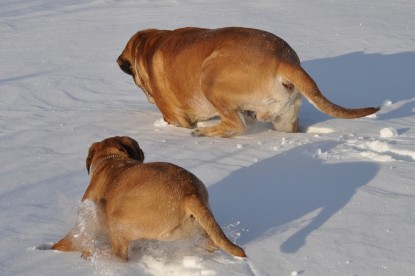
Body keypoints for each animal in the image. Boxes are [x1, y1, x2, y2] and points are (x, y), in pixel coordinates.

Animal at [52, 137, 247, 260]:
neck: (111, 159)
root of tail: (189, 194)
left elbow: (70, 238)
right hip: (198, 227)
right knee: (211, 242)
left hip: (119, 219)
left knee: (120, 255)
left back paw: (92, 253)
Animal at [117, 27, 380, 137]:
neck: (147, 47)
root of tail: (283, 59)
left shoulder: (174, 117)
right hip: (285, 117)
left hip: (210, 78)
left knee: (235, 124)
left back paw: (205, 132)